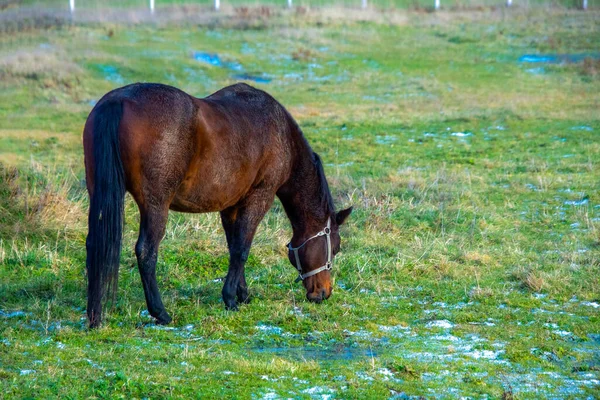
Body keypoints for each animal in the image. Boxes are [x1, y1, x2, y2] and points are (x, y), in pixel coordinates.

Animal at [80, 82, 352, 328]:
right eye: (336, 248)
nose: (324, 293)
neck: (282, 135)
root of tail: (119, 100)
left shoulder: (230, 206)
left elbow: (234, 247)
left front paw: (242, 294)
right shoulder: (259, 197)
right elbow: (242, 249)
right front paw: (231, 298)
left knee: (94, 244)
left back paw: (94, 316)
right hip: (156, 205)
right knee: (146, 251)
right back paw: (161, 313)